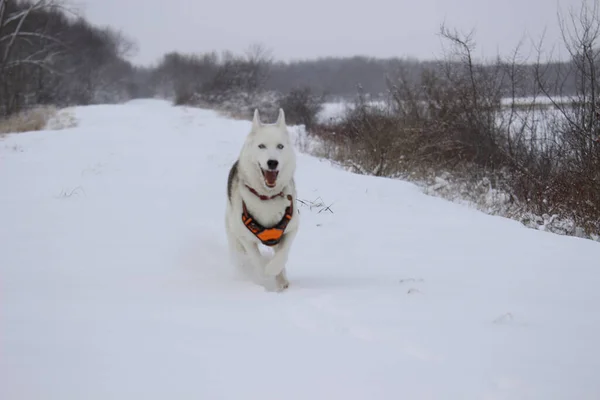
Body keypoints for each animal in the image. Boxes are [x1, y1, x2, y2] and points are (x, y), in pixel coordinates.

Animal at [224, 108, 298, 290]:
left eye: (280, 146)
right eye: (261, 146)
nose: (272, 162)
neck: (267, 197)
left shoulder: (292, 227)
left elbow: (282, 254)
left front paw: (274, 270)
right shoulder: (245, 237)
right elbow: (256, 259)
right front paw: (265, 272)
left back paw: (281, 280)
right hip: (232, 233)